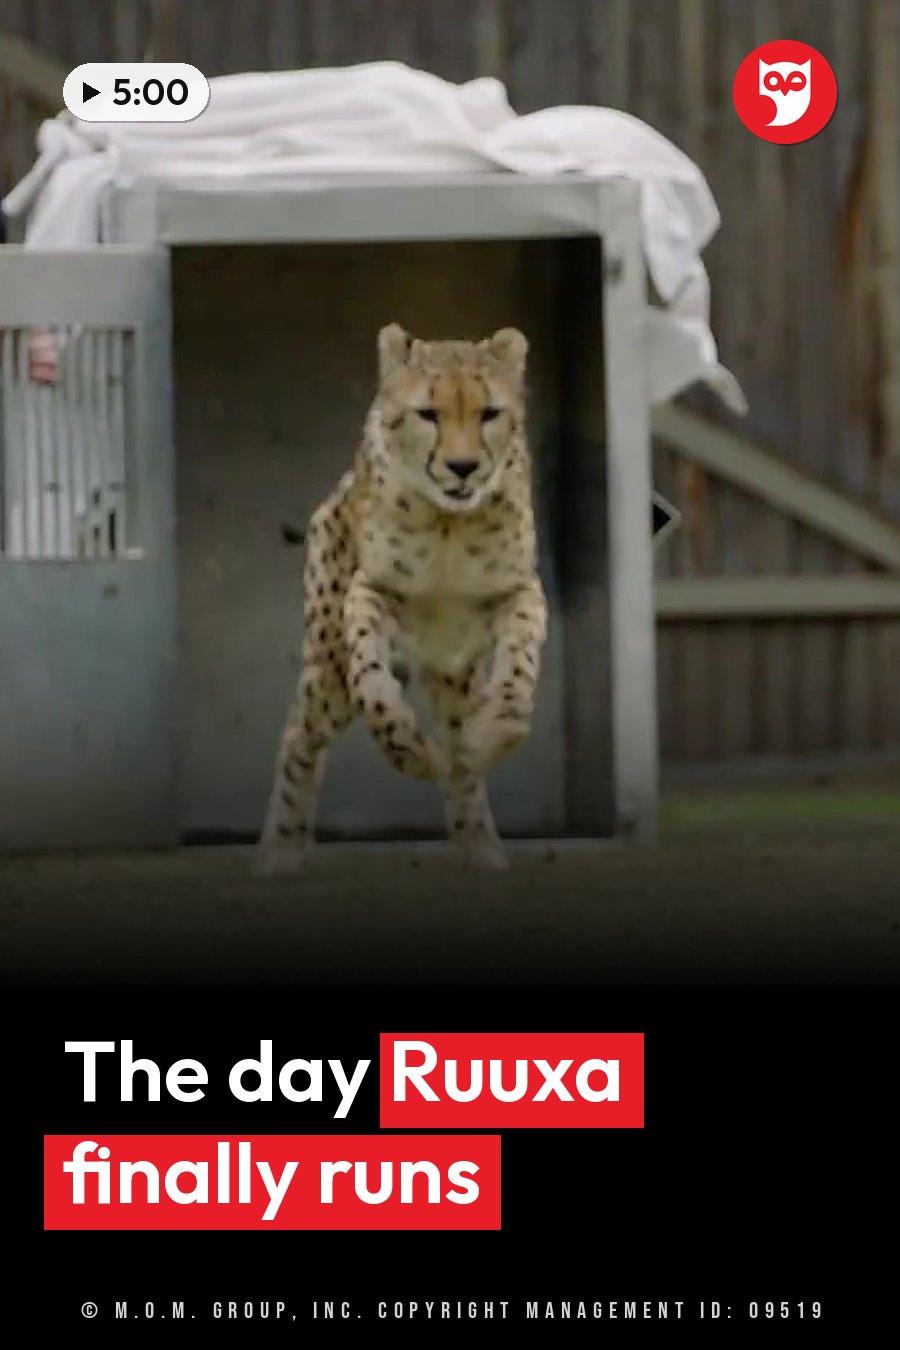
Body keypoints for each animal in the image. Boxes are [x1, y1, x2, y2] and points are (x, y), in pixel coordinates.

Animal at [258, 323, 548, 873]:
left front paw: (495, 732)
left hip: (454, 675)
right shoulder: (370, 594)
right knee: (300, 734)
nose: (463, 467)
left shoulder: (519, 592)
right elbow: (373, 685)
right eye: (428, 414)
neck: (449, 522)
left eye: (489, 413)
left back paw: (479, 843)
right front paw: (412, 751)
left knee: (459, 755)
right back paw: (281, 847)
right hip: (328, 671)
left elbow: (517, 673)